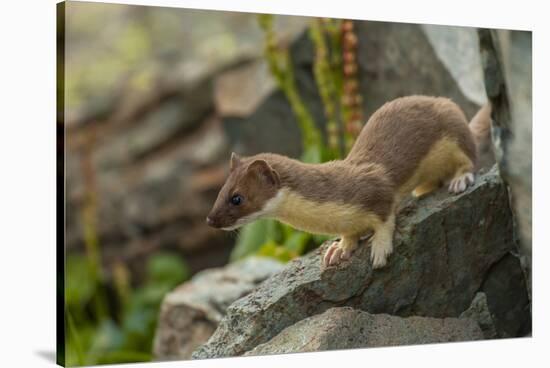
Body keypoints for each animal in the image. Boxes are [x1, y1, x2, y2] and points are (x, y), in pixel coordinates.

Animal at [209, 96, 494, 268]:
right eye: (220, 192)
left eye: (237, 197)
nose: (210, 220)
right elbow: (349, 232)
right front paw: (340, 247)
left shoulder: (376, 189)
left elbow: (385, 217)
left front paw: (379, 248)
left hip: (454, 133)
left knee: (469, 156)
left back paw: (459, 179)